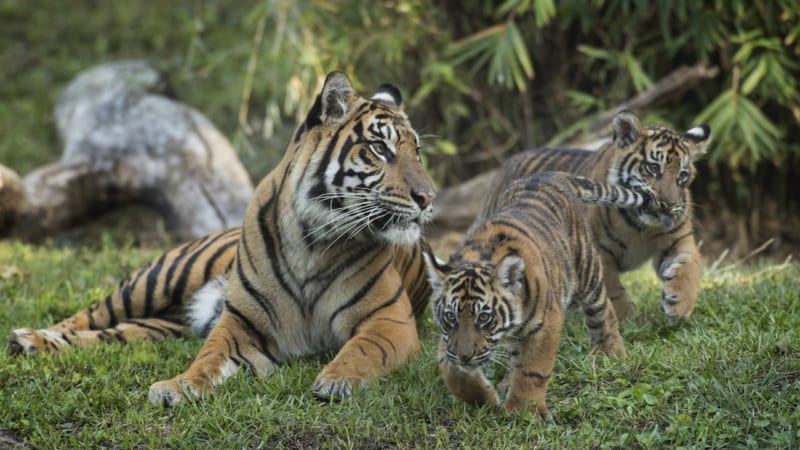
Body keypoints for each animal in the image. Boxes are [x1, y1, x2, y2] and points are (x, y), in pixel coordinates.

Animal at [6, 72, 434, 406]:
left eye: (417, 151)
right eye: (379, 148)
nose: (429, 197)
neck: (314, 240)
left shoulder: (388, 320)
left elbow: (362, 350)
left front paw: (337, 380)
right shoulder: (242, 324)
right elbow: (208, 357)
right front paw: (178, 386)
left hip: (159, 326)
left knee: (110, 335)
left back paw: (33, 343)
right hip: (154, 280)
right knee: (88, 315)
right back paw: (30, 338)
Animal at [424, 171, 648, 416]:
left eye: (484, 318)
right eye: (450, 317)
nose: (465, 356)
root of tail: (551, 174)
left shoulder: (547, 322)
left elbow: (532, 370)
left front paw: (524, 411)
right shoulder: (448, 339)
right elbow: (454, 373)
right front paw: (485, 398)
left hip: (587, 270)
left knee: (603, 311)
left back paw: (610, 354)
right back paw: (505, 383)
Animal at [478, 112, 708, 324]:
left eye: (682, 176)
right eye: (653, 168)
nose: (668, 205)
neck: (641, 226)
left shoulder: (678, 242)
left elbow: (690, 267)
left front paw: (679, 305)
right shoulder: (597, 251)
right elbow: (612, 289)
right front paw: (628, 320)